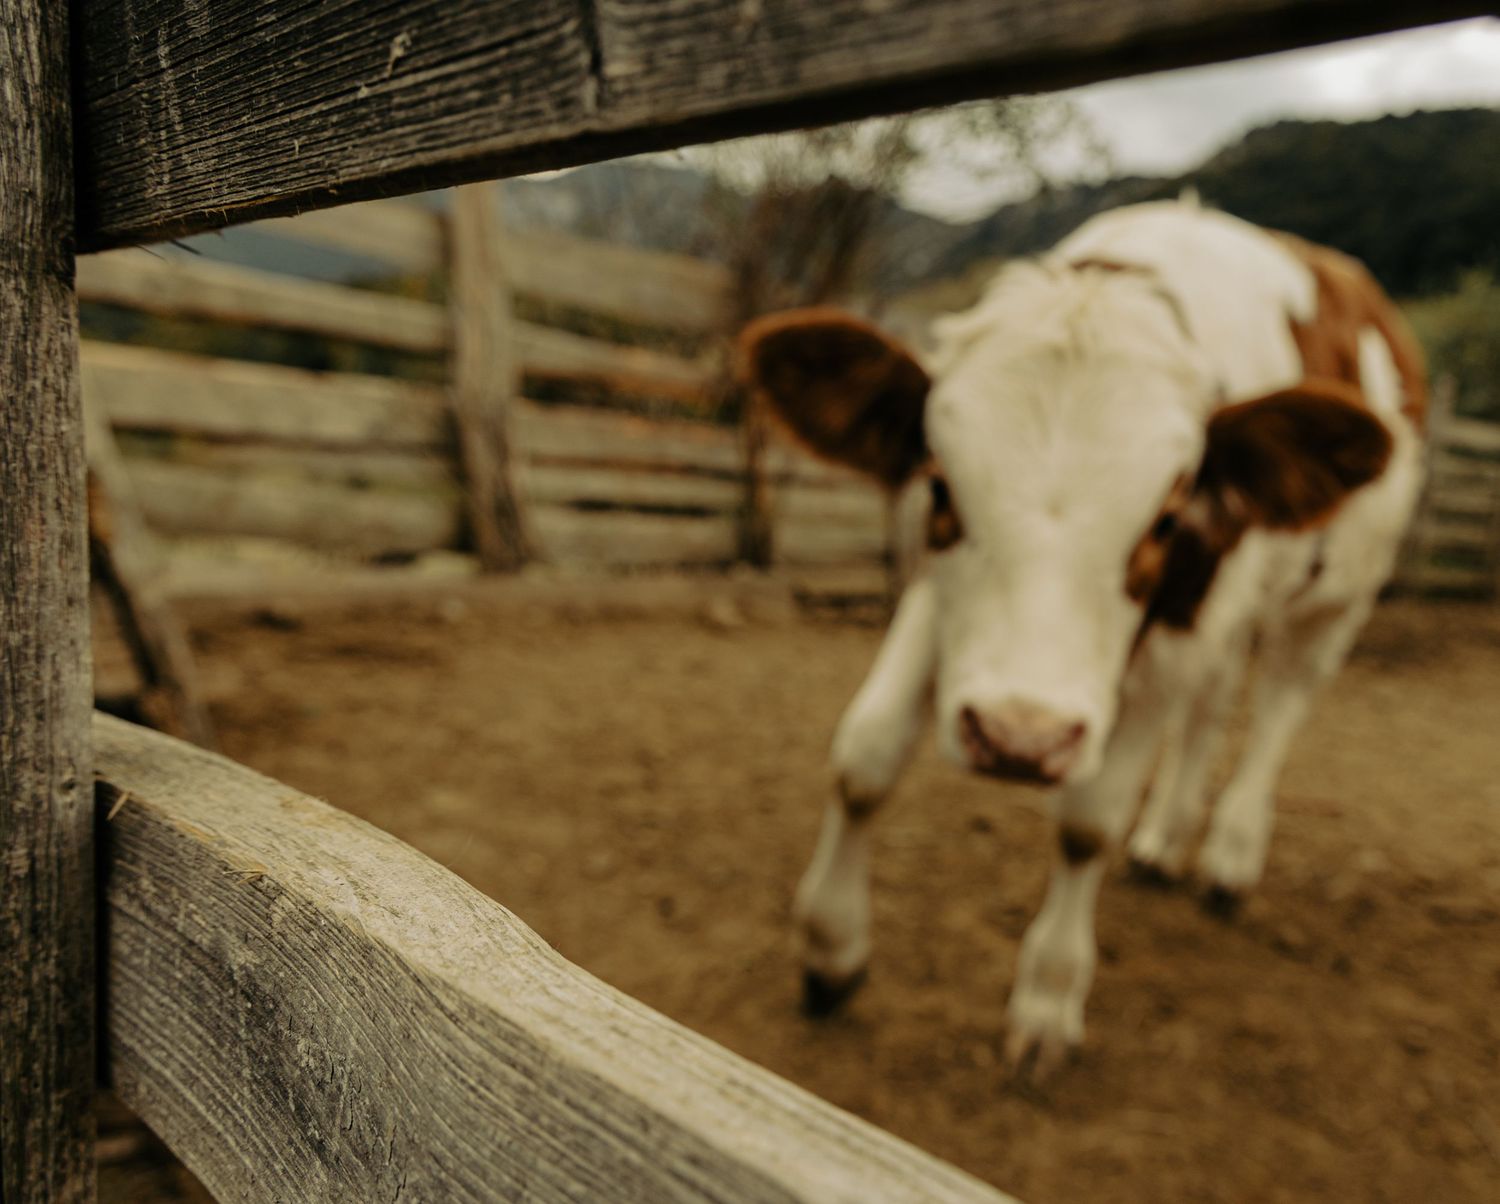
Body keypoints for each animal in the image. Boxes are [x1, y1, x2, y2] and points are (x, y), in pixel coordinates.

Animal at [739, 198, 1426, 1077]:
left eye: (1166, 519)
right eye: (941, 489)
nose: (1017, 739)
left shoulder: (1168, 640)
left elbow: (1086, 822)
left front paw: (1048, 998)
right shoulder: (943, 599)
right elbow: (865, 757)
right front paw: (830, 953)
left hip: (1335, 601)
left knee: (1279, 704)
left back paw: (1230, 855)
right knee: (1213, 705)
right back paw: (1164, 841)